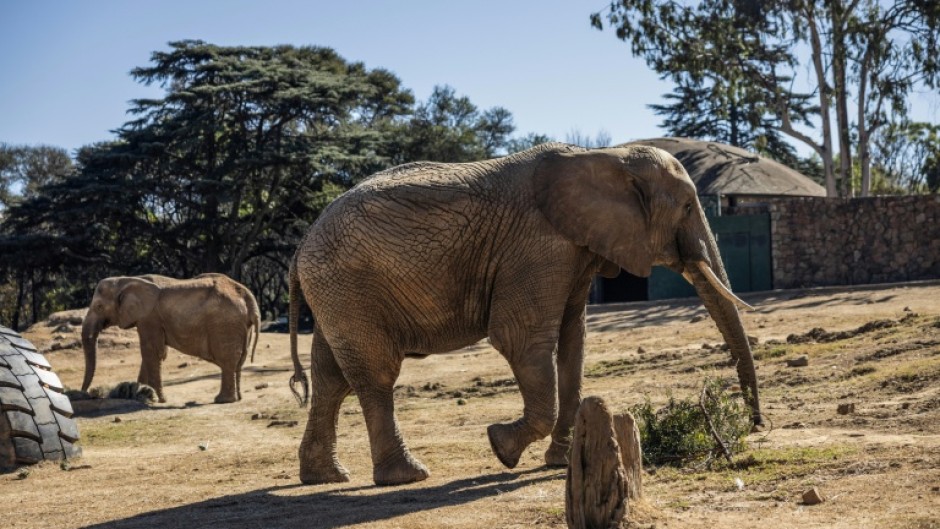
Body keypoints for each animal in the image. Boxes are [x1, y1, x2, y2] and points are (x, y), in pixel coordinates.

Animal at [81, 273, 261, 404]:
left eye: (99, 306)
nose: (86, 394)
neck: (126, 279)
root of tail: (248, 296)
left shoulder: (149, 318)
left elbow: (151, 352)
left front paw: (158, 399)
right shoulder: (149, 320)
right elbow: (152, 353)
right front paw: (140, 394)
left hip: (225, 323)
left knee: (227, 361)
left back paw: (222, 400)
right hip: (241, 326)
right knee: (239, 361)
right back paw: (237, 398)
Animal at [287, 142, 761, 486]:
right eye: (687, 207)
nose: (757, 426)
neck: (607, 153)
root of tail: (301, 243)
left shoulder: (575, 250)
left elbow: (573, 343)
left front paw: (558, 461)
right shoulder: (538, 247)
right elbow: (521, 340)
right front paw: (502, 447)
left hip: (335, 292)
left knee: (330, 378)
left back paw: (326, 477)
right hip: (348, 286)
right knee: (375, 374)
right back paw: (406, 476)